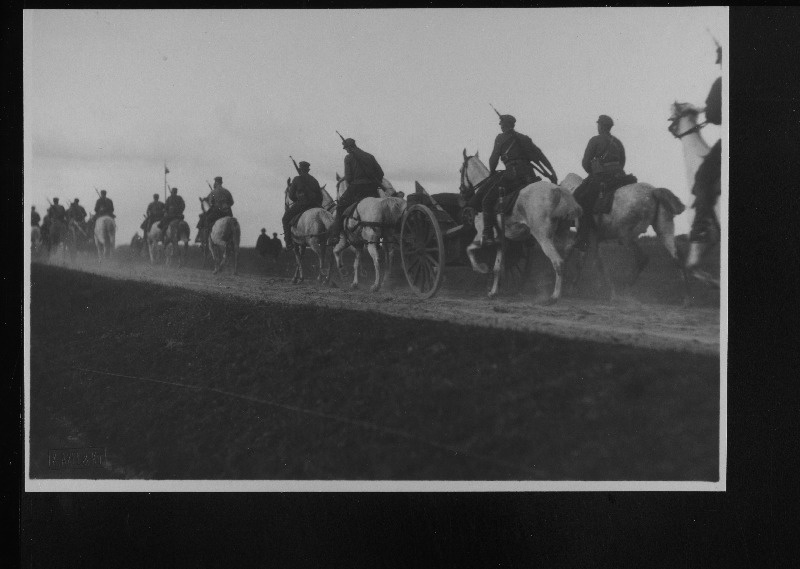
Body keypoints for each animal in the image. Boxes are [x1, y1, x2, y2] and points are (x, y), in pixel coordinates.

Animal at [462, 151, 580, 302]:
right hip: (560, 233)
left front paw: (481, 269)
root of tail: (558, 190)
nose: (462, 191)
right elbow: (497, 268)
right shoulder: (501, 242)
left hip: (543, 237)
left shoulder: (482, 237)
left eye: (460, 170)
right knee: (568, 250)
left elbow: (469, 249)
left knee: (558, 262)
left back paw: (554, 296)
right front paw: (494, 292)